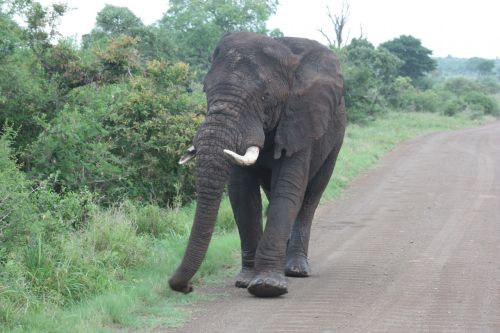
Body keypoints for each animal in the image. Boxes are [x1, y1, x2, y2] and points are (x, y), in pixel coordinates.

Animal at [170, 31, 346, 296]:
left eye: (265, 97)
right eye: (205, 90)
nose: (187, 287)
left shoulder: (299, 119)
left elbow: (287, 189)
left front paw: (267, 286)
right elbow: (242, 193)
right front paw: (246, 280)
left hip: (335, 138)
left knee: (311, 196)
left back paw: (295, 269)